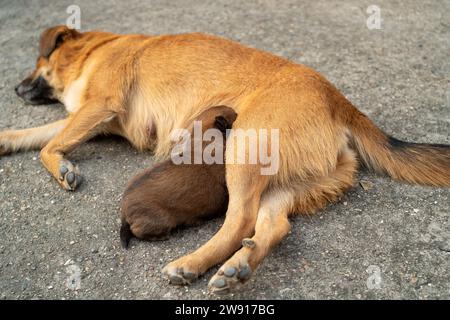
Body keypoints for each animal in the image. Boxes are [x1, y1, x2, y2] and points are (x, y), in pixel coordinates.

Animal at [120, 105, 239, 248]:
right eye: (235, 116)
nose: (238, 112)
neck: (202, 142)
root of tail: (124, 210)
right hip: (161, 221)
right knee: (137, 231)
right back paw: (160, 236)